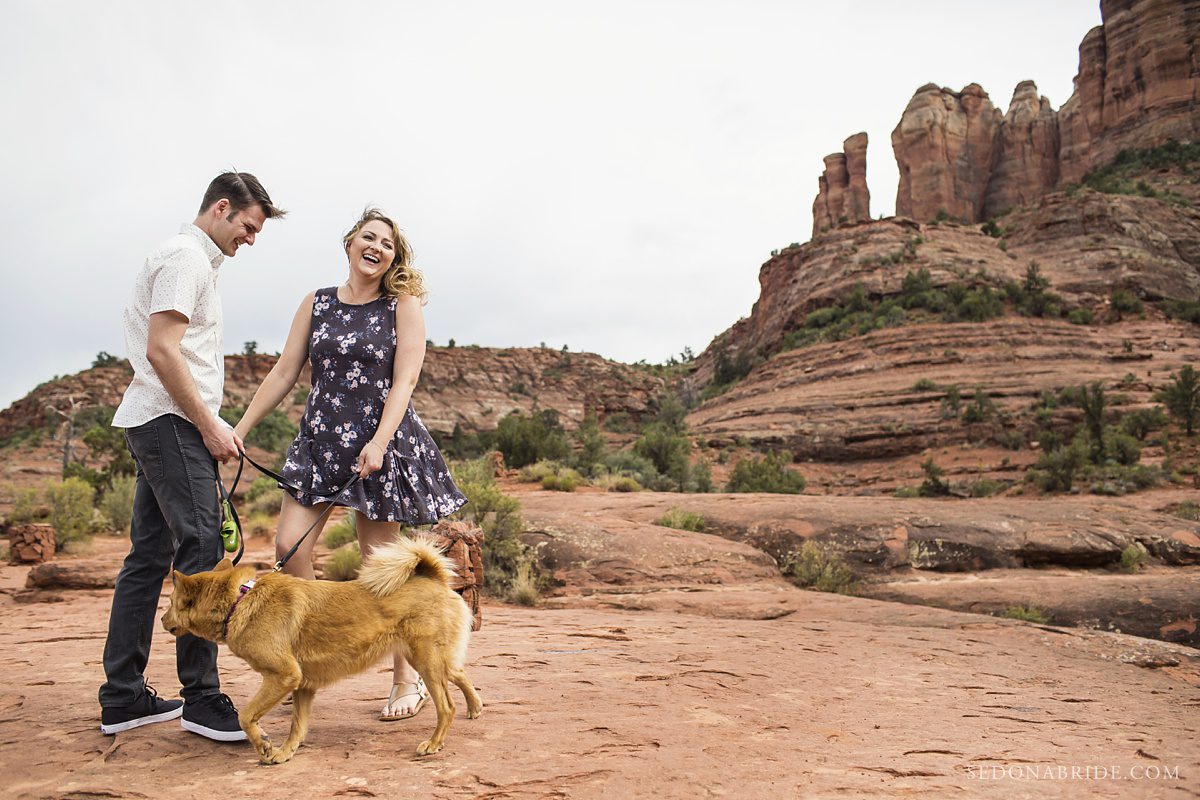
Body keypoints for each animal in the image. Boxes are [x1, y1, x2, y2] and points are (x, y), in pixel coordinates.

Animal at [163, 534, 482, 767]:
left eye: (172, 603)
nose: (163, 620)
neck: (239, 602)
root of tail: (434, 578)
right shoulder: (303, 684)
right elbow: (297, 725)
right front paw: (286, 752)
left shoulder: (283, 676)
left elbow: (246, 715)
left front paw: (264, 746)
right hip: (427, 658)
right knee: (460, 673)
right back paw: (474, 708)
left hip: (426, 661)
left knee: (446, 707)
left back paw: (434, 743)